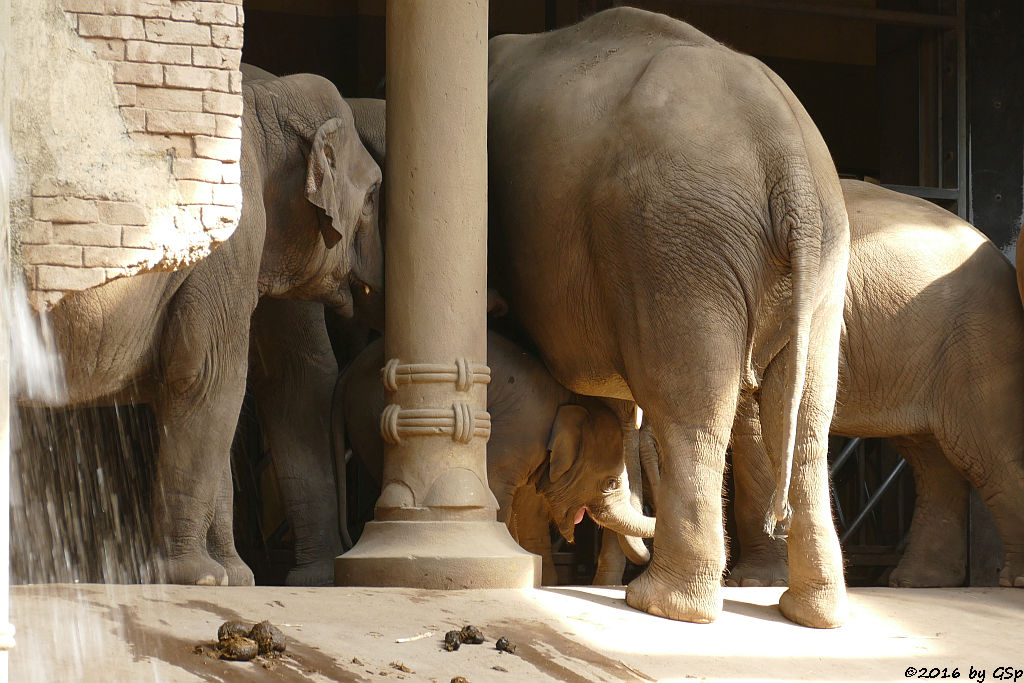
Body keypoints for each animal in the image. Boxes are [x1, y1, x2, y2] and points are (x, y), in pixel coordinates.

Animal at [33, 73, 385, 589]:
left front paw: (233, 579)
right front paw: (196, 577)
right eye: (374, 194)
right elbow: (210, 375)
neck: (267, 101)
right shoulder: (231, 239)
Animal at [487, 5, 847, 626]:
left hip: (674, 242)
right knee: (803, 420)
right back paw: (812, 614)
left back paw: (660, 604)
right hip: (811, 255)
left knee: (688, 404)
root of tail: (791, 165)